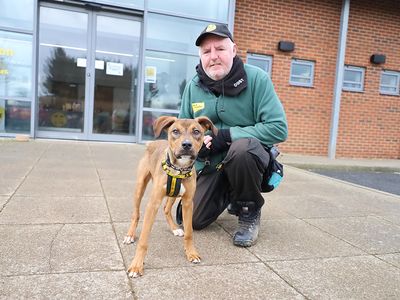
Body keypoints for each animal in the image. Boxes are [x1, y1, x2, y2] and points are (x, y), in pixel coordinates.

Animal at [123, 115, 217, 276]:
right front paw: (136, 266)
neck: (179, 168)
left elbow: (189, 233)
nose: (186, 145)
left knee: (166, 209)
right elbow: (143, 241)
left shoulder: (188, 203)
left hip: (174, 194)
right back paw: (130, 235)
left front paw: (191, 253)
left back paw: (174, 228)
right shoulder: (153, 204)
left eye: (196, 131)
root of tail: (153, 142)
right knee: (136, 214)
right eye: (175, 131)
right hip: (140, 187)